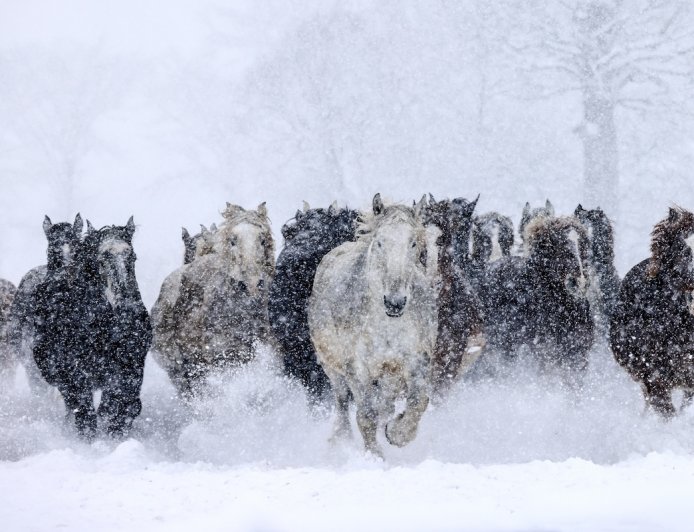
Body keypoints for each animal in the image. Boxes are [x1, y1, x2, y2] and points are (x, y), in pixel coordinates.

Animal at [32, 217, 151, 438]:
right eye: (102, 258)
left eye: (132, 257)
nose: (127, 306)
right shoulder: (75, 375)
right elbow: (87, 415)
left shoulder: (130, 369)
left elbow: (124, 407)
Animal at [308, 194, 437, 457]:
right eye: (379, 242)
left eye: (413, 243)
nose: (395, 302)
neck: (387, 324)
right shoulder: (356, 367)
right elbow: (366, 415)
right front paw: (374, 457)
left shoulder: (416, 360)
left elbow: (418, 401)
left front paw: (396, 434)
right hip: (332, 366)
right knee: (342, 401)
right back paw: (340, 440)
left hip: (389, 374)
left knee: (385, 404)